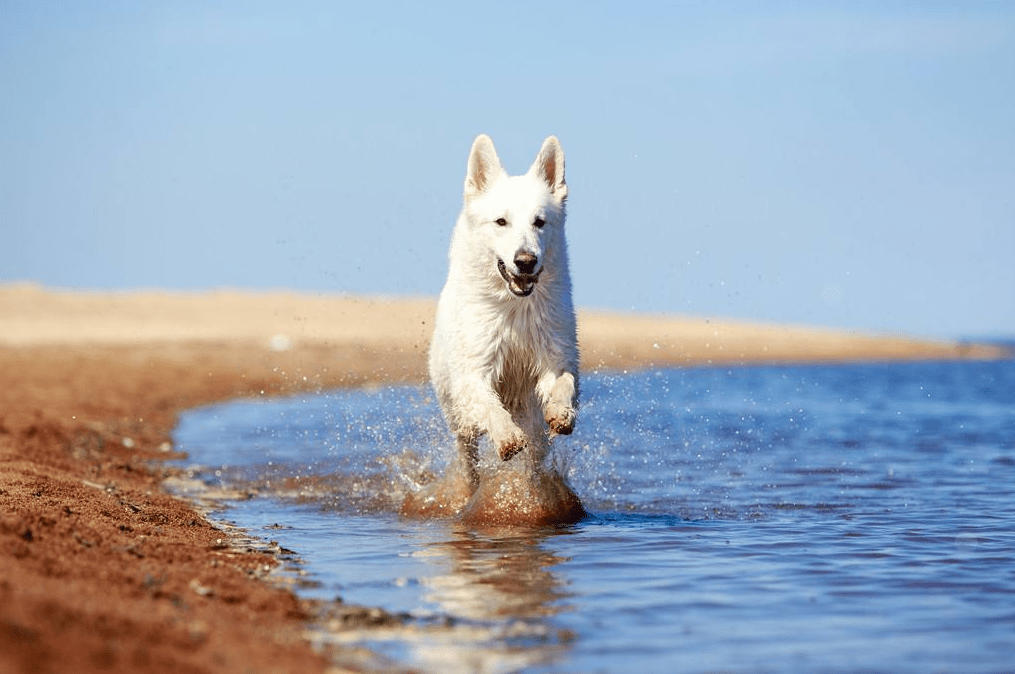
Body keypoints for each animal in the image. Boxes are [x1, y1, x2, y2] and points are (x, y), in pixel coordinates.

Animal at [426, 136, 580, 495]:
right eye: (501, 222)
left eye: (539, 222)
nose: (525, 261)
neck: (514, 308)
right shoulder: (473, 372)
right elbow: (489, 406)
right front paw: (507, 436)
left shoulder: (555, 357)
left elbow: (563, 383)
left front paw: (561, 413)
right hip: (458, 421)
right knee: (469, 458)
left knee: (536, 456)